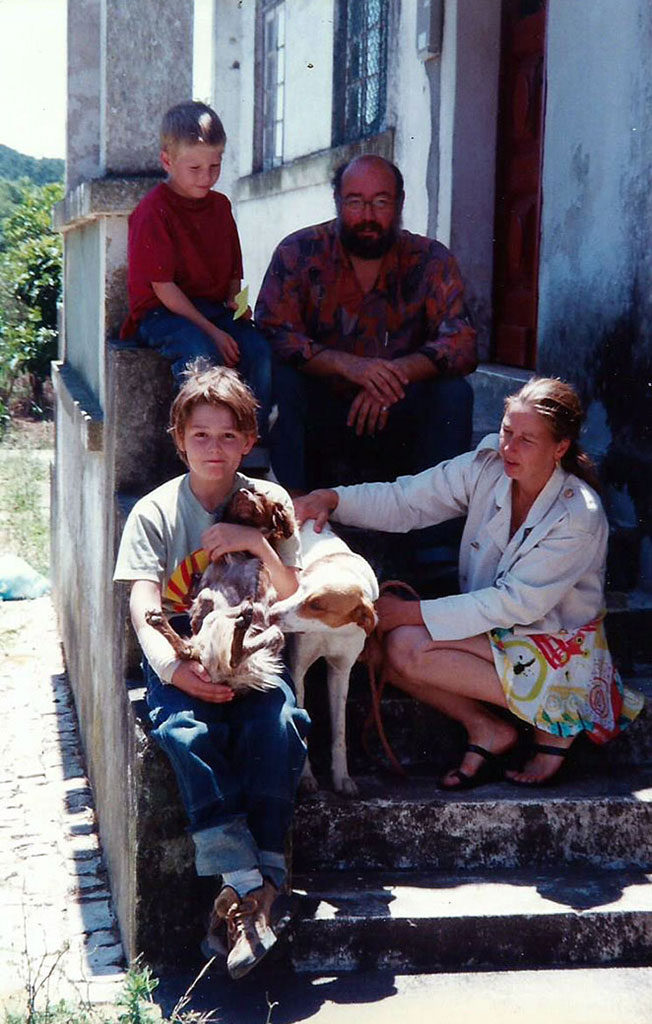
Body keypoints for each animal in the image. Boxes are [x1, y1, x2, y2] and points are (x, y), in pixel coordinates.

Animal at [272, 520, 378, 798]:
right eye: (299, 588)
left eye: (317, 605)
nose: (271, 613)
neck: (331, 632)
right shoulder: (298, 668)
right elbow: (303, 723)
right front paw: (305, 777)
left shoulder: (341, 672)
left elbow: (339, 730)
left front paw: (342, 777)